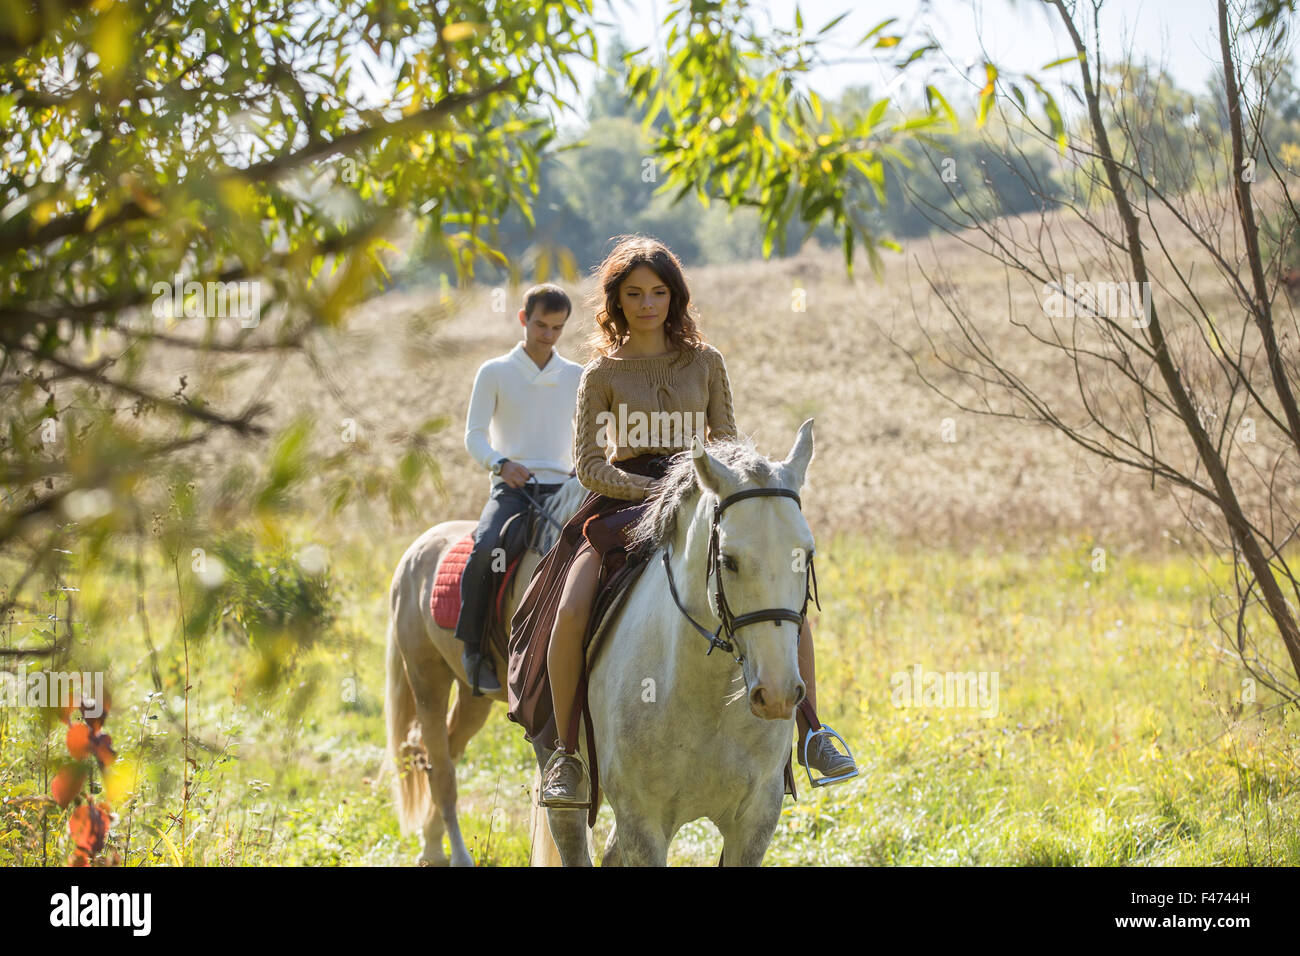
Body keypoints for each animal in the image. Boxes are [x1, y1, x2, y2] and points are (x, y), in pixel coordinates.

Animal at [379, 476, 585, 868]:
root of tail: (416, 549)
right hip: (427, 680)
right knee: (441, 768)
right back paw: (455, 854)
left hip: (473, 699)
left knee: (443, 753)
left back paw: (431, 845)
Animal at [543, 421, 816, 868]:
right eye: (728, 561)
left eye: (806, 556)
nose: (776, 694)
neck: (706, 694)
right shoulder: (643, 822)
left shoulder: (756, 820)